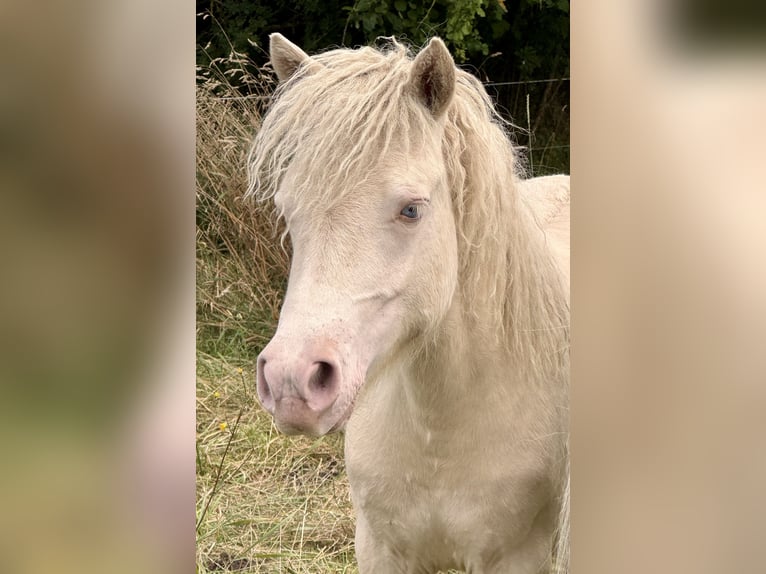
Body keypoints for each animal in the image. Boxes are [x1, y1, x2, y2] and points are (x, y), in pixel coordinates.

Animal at [247, 34, 570, 574]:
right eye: (287, 211)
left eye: (412, 210)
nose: (292, 381)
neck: (438, 429)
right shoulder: (380, 549)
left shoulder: (517, 557)